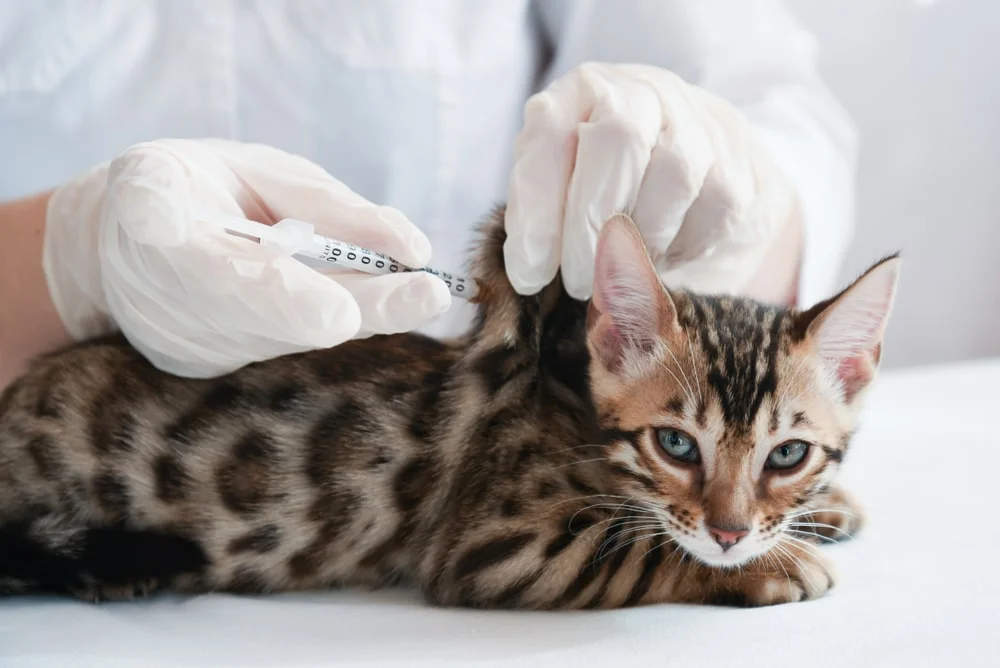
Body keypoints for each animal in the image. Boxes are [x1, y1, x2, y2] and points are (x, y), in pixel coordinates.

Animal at [0, 206, 900, 608]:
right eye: (677, 445)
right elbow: (641, 547)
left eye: (788, 454)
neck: (573, 410)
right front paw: (774, 564)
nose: (730, 532)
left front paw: (826, 510)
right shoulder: (497, 544)